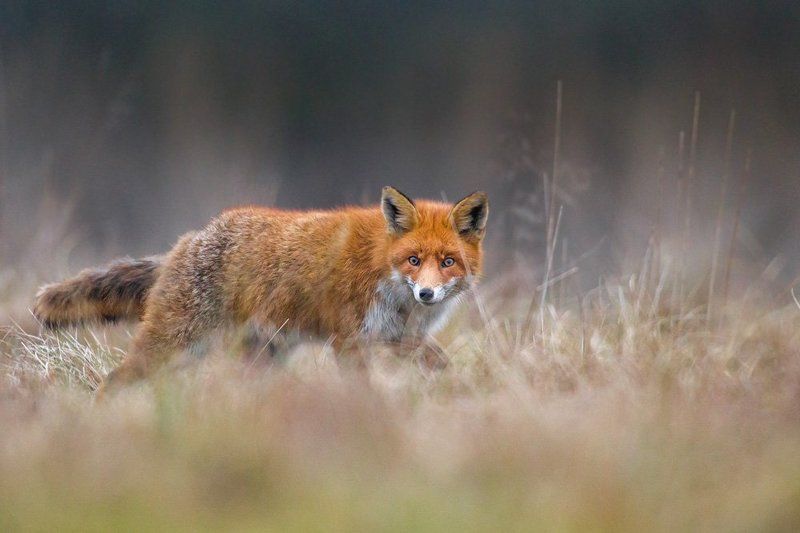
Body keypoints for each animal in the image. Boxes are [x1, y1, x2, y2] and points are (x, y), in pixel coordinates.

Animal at [33, 186, 488, 393]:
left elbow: (445, 366)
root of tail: (190, 239)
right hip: (173, 348)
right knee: (113, 381)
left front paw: (464, 394)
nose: (426, 295)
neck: (381, 269)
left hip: (261, 358)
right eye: (413, 260)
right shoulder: (348, 340)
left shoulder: (399, 338)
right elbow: (360, 389)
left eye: (447, 262)